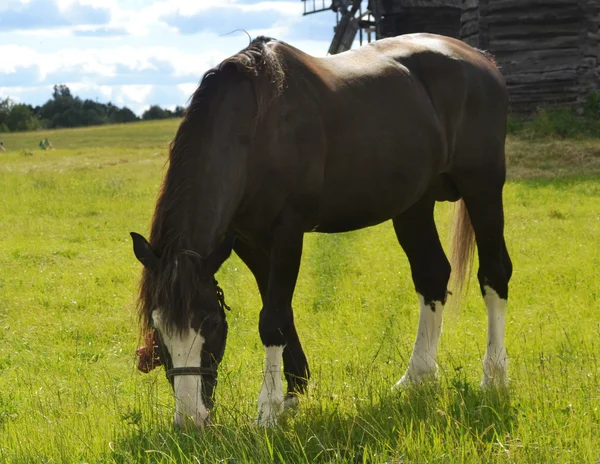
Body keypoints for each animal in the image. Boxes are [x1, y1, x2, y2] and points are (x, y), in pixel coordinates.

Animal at [130, 33, 510, 428]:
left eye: (212, 324)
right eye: (158, 329)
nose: (191, 419)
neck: (254, 130)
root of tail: (481, 59)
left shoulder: (287, 233)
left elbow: (273, 319)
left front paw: (268, 411)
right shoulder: (247, 242)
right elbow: (279, 310)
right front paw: (293, 393)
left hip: (482, 185)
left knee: (494, 274)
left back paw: (494, 377)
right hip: (413, 204)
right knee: (432, 275)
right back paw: (417, 378)